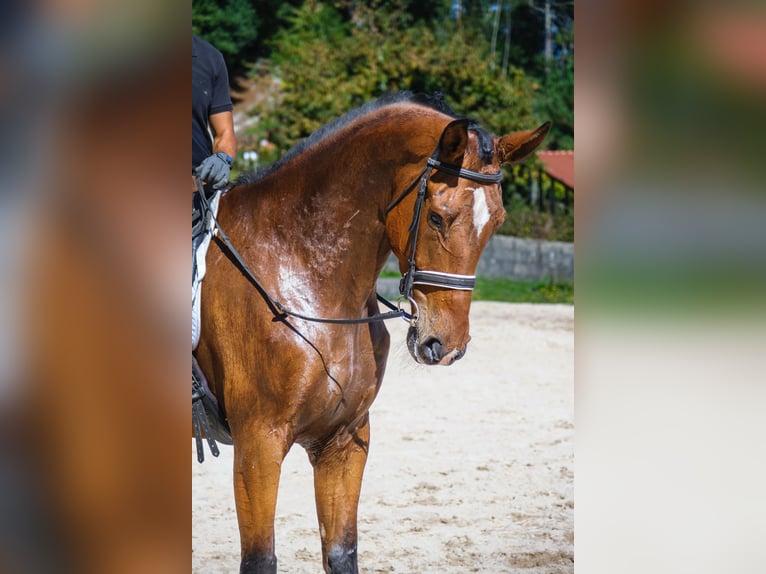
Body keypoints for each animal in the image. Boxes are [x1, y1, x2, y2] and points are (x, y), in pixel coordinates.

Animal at [194, 92, 550, 574]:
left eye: (496, 222)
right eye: (436, 218)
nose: (446, 345)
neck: (300, 263)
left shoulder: (345, 441)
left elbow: (341, 552)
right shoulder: (257, 443)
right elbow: (260, 559)